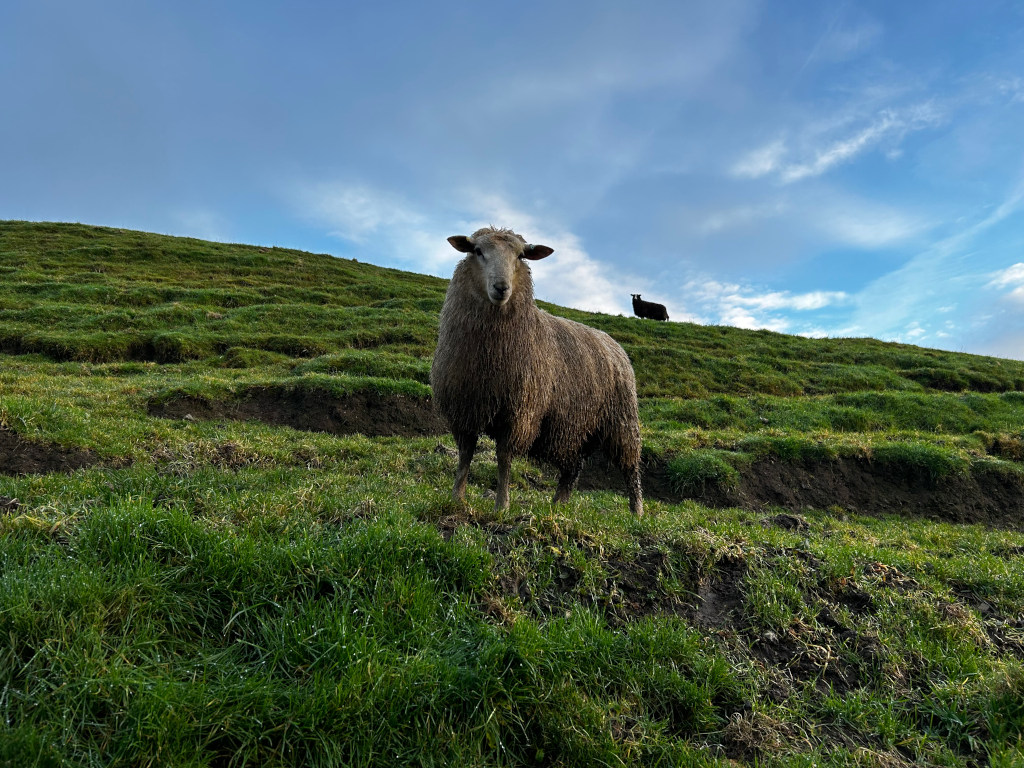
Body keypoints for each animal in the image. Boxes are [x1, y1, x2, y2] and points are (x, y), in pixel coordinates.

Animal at [430, 227, 644, 516]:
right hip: (573, 426)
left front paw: (502, 505)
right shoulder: (465, 409)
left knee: (630, 467)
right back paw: (558, 505)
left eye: (521, 256)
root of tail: (613, 343)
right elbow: (465, 456)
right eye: (477, 251)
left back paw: (637, 512)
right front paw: (457, 498)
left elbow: (504, 459)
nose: (501, 288)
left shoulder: (519, 412)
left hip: (621, 420)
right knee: (573, 467)